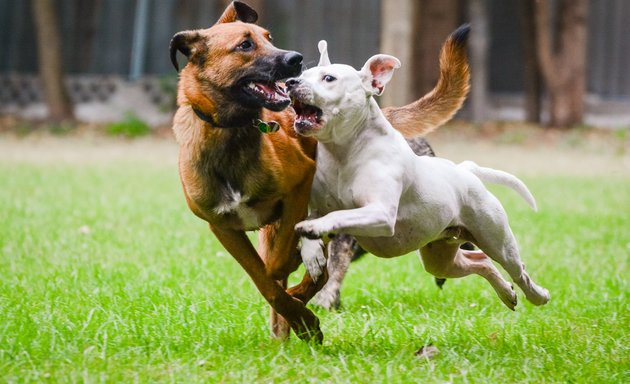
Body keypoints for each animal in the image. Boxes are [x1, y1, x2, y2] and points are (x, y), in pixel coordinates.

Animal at [170, 0, 472, 342]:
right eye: (245, 45)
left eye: (269, 37)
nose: (296, 60)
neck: (232, 132)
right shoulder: (223, 227)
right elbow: (264, 278)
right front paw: (299, 315)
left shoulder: (300, 184)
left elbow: (281, 264)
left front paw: (300, 298)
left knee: (321, 266)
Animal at [288, 41, 552, 308]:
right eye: (303, 75)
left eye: (329, 78)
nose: (291, 82)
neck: (343, 153)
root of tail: (464, 169)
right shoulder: (316, 206)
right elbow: (313, 223)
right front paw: (312, 255)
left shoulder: (380, 213)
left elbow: (340, 214)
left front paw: (316, 229)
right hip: (441, 255)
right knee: (480, 261)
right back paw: (507, 294)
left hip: (497, 240)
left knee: (518, 270)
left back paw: (538, 295)